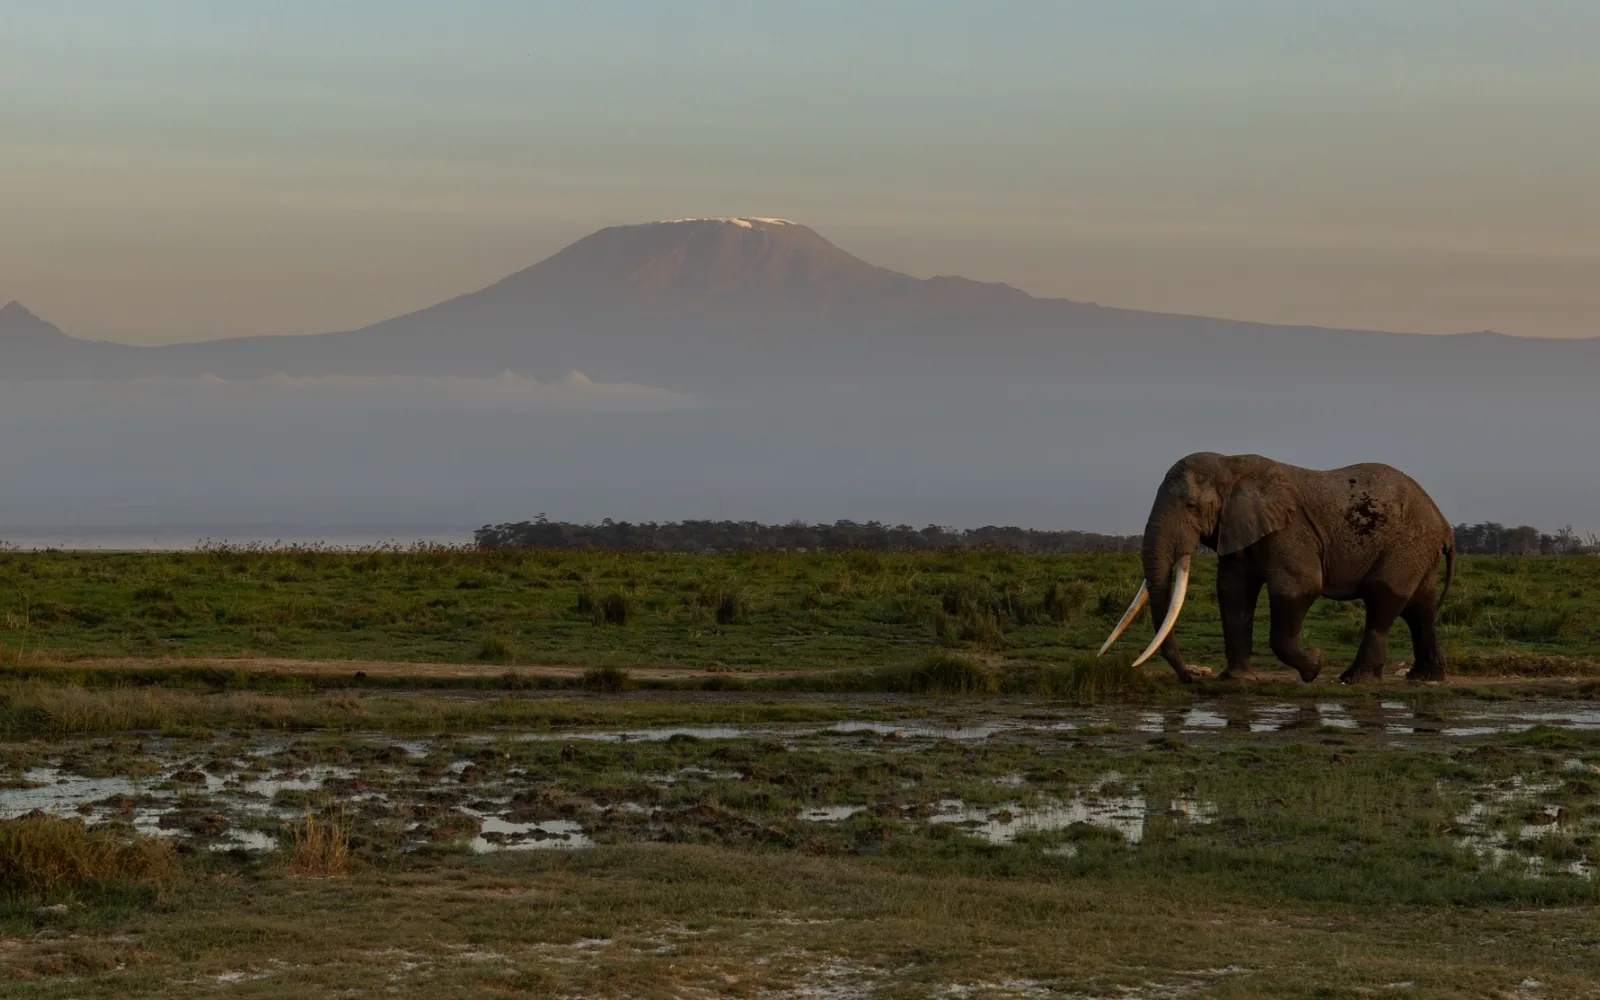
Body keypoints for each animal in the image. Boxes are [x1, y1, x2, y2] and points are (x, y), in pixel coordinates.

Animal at [1098, 452, 1455, 685]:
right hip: (1418, 550)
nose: (1191, 677)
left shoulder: (1289, 530)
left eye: (1191, 506)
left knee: (1384, 600)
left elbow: (1299, 587)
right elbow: (1233, 592)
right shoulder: (1238, 528)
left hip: (1406, 543)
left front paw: (1314, 666)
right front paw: (1237, 680)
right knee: (1420, 608)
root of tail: (1443, 523)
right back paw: (1425, 677)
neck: (1230, 465)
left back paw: (1356, 680)